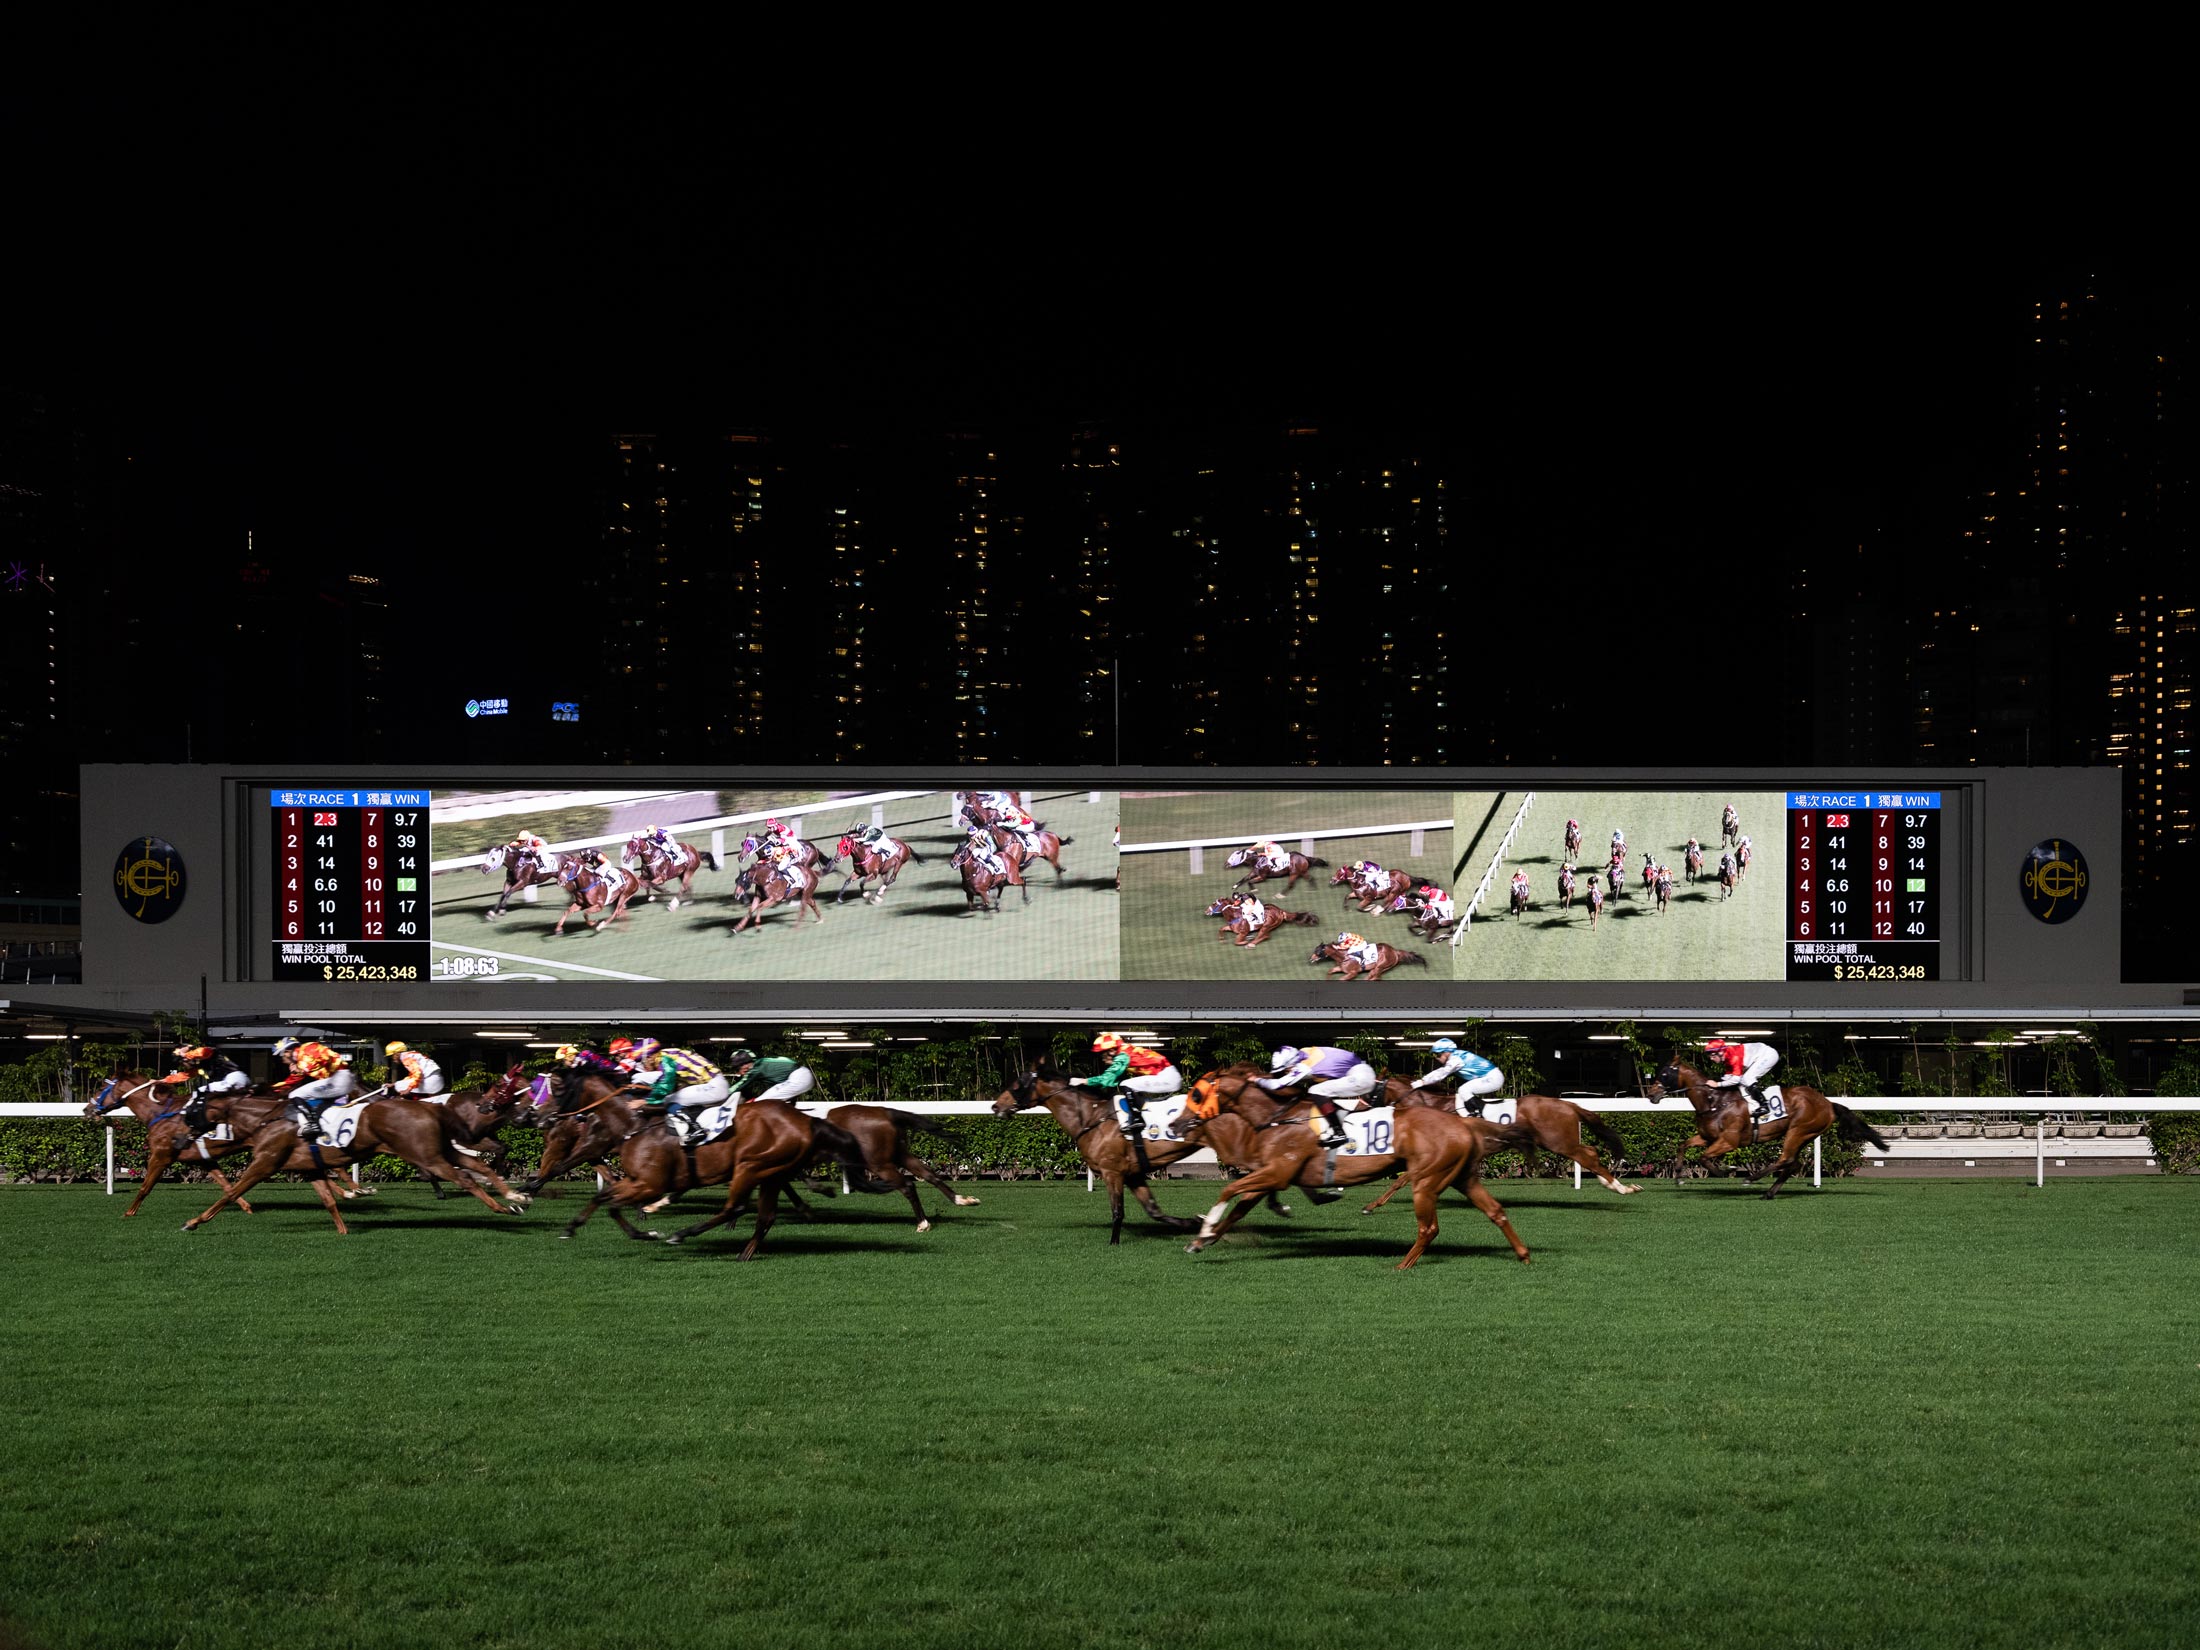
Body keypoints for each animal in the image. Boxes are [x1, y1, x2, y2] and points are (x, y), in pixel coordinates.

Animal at [1170, 1073, 1531, 1276]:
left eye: (1196, 1095)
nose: (1175, 1124)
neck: (1278, 1118)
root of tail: (1463, 1124)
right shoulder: (1270, 1174)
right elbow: (1239, 1207)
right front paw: (1202, 1240)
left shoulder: (1276, 1174)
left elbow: (1227, 1192)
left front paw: (1204, 1231)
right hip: (1462, 1177)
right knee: (1496, 1212)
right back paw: (1524, 1255)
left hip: (1427, 1180)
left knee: (1429, 1227)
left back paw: (1403, 1265)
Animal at [1654, 1060, 1892, 1205]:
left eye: (1664, 1074)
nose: (1651, 1093)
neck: (1715, 1101)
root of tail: (1829, 1104)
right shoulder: (1707, 1137)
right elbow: (1683, 1145)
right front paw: (1678, 1176)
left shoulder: (1729, 1141)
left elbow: (1704, 1158)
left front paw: (1724, 1171)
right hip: (1805, 1135)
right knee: (1792, 1163)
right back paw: (1768, 1192)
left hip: (1798, 1130)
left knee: (1785, 1159)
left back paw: (1752, 1178)